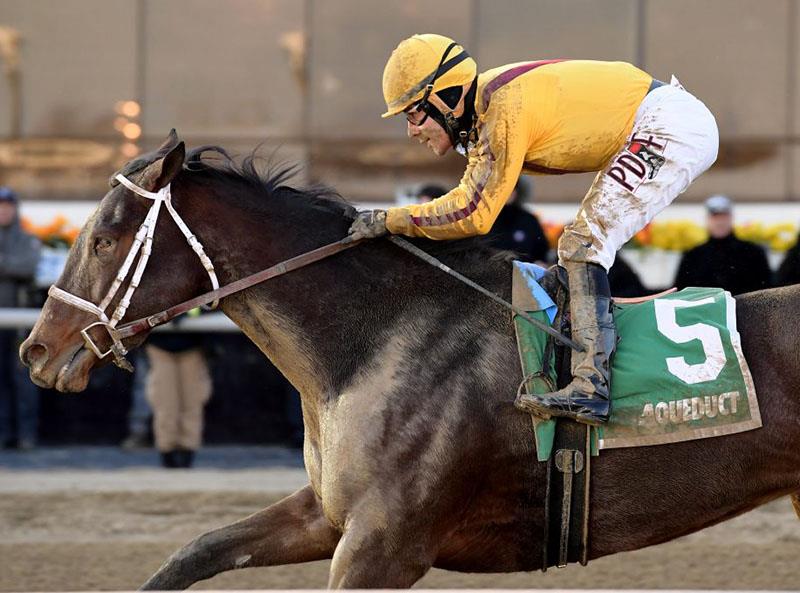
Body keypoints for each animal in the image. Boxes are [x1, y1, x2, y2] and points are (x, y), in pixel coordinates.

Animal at [20, 131, 800, 589]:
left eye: (105, 238)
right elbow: (195, 551)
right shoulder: (332, 515)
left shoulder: (385, 546)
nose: (37, 348)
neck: (379, 338)